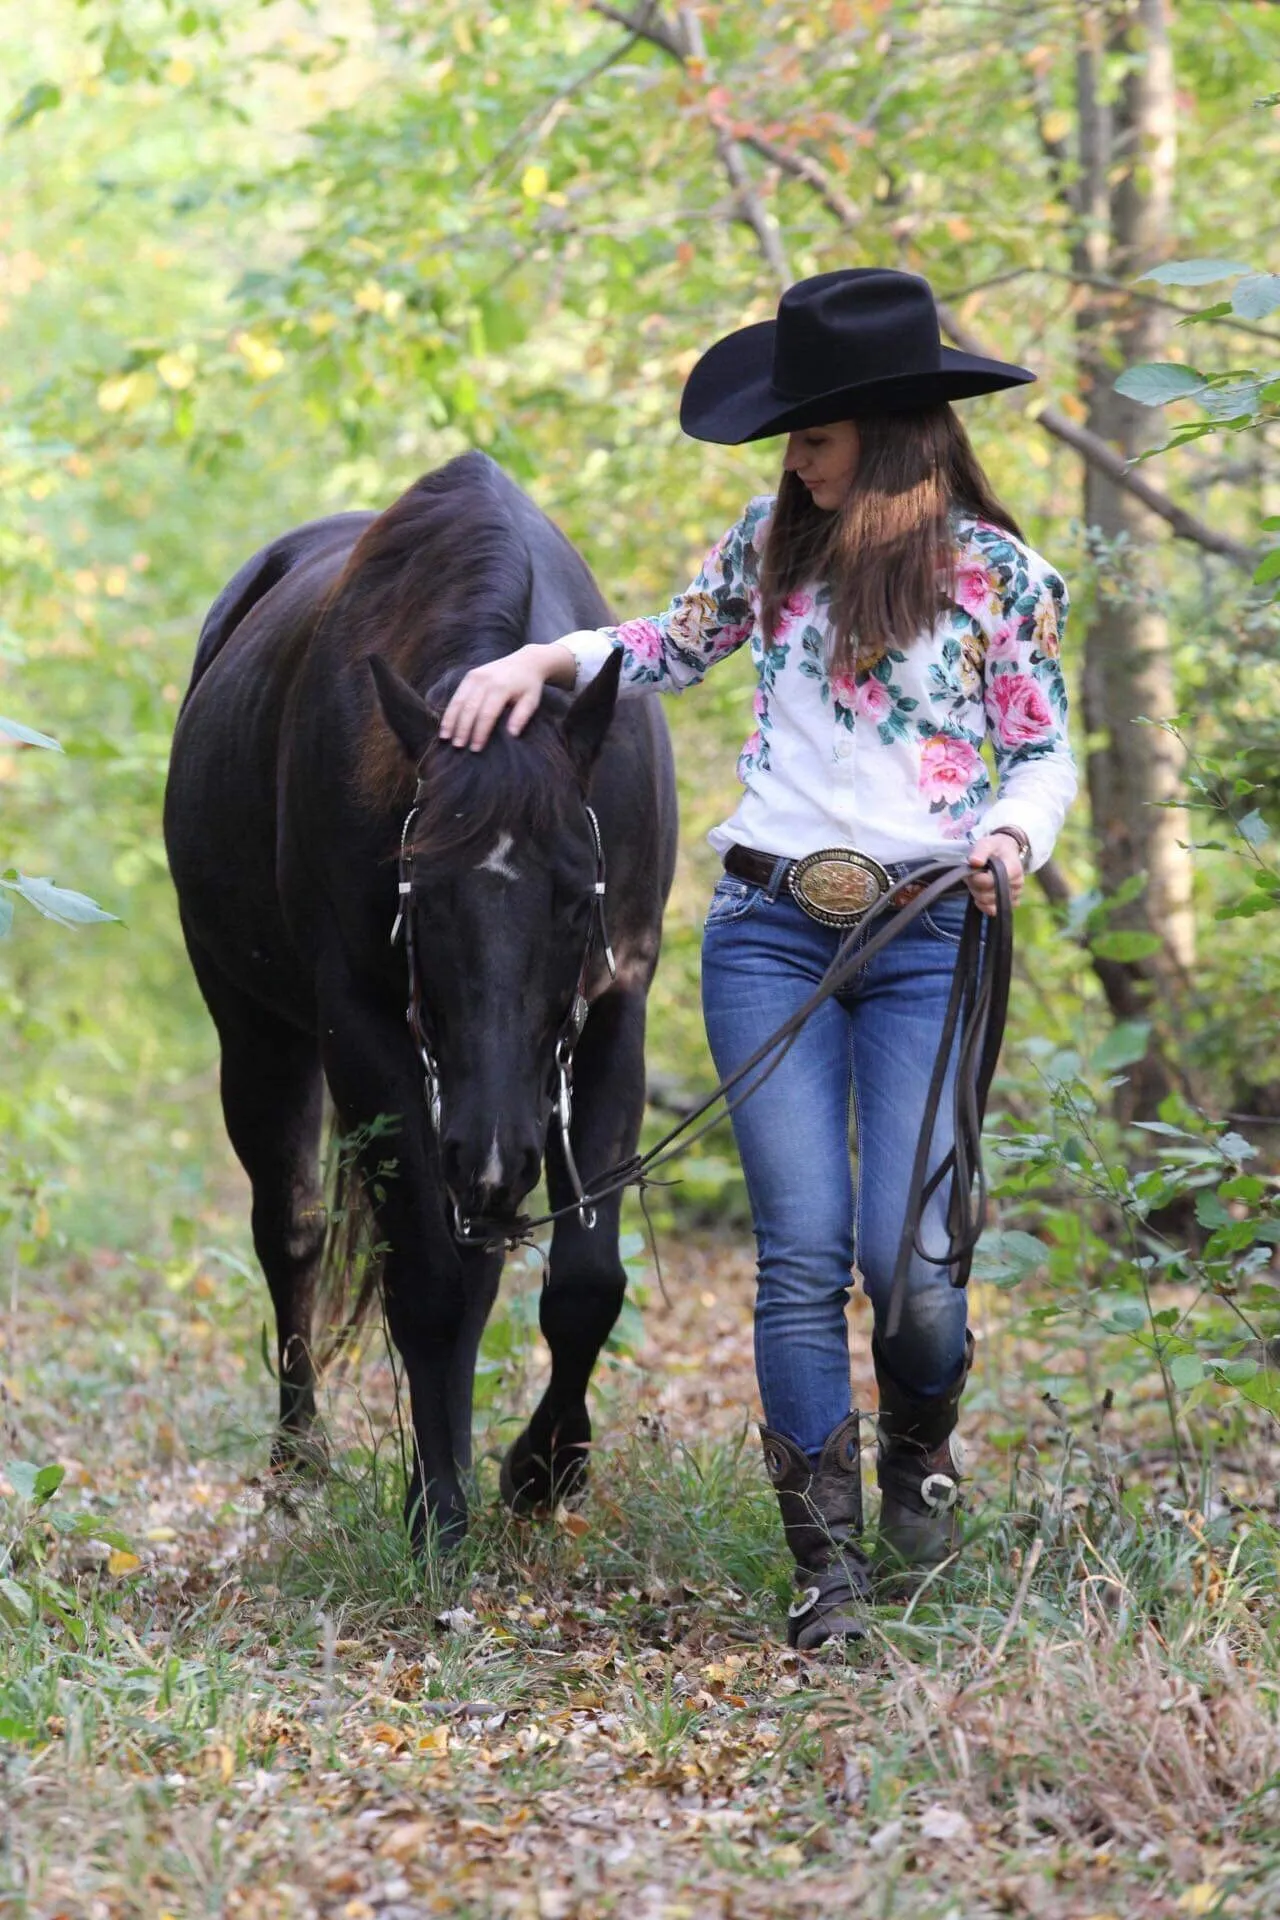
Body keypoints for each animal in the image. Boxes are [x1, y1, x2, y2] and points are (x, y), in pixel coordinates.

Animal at [164, 450, 678, 1549]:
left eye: (575, 895)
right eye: (420, 893)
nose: (488, 1148)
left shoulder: (612, 1010)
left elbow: (583, 1280)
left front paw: (542, 1467)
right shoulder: (367, 1035)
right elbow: (428, 1280)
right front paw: (437, 1508)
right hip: (260, 1034)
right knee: (294, 1233)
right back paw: (299, 1460)